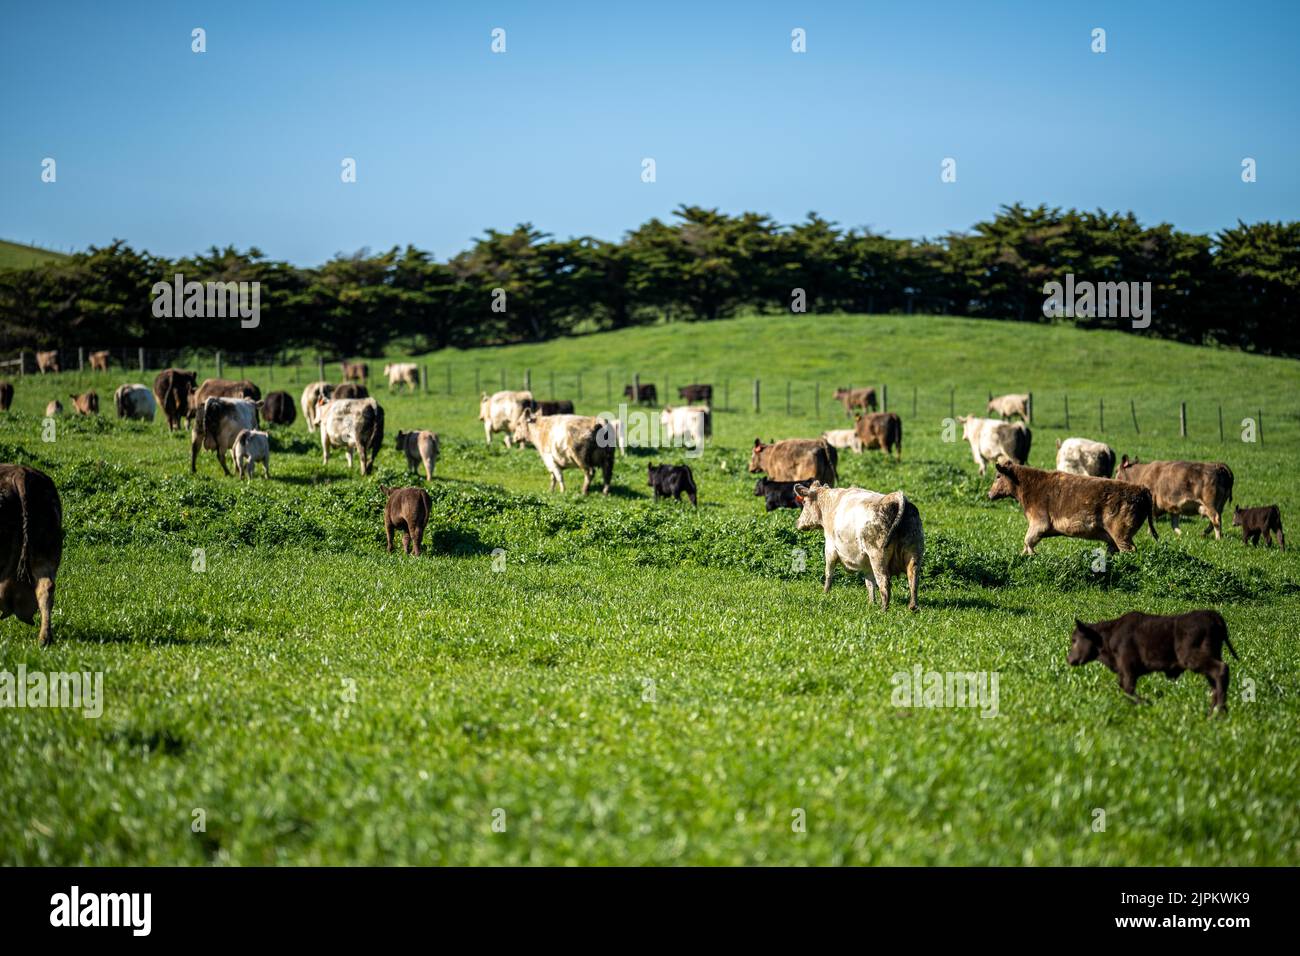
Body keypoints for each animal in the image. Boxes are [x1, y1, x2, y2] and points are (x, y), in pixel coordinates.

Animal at [793, 480, 923, 611]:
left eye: (804, 502)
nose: (797, 522)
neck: (830, 504)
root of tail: (894, 497)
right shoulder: (866, 561)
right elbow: (869, 582)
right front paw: (871, 602)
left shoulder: (830, 547)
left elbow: (829, 573)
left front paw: (825, 593)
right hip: (914, 553)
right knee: (913, 579)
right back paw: (912, 607)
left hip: (878, 556)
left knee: (884, 582)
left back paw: (883, 610)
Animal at [987, 461, 1158, 555]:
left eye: (998, 476)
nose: (989, 494)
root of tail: (1142, 489)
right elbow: (1027, 543)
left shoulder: (1039, 522)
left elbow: (1028, 540)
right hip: (1114, 537)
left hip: (1121, 534)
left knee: (1129, 550)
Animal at [1067, 610, 1238, 714]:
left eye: (1074, 640)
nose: (1069, 659)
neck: (1107, 637)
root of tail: (1213, 616)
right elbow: (1124, 689)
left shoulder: (1128, 668)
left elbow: (1127, 689)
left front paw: (1147, 703)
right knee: (1215, 683)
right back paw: (1213, 713)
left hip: (1192, 658)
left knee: (1221, 670)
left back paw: (1218, 713)